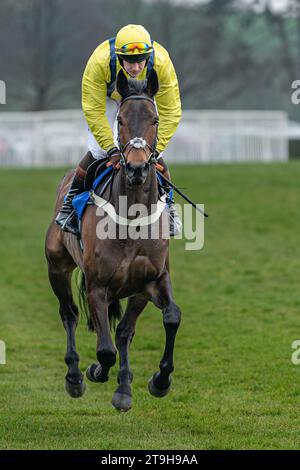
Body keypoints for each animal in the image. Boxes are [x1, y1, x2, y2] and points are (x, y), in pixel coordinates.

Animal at [44, 70, 180, 412]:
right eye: (119, 120)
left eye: (155, 119)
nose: (136, 167)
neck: (132, 217)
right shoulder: (98, 285)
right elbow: (104, 350)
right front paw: (95, 371)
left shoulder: (153, 279)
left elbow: (169, 318)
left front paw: (158, 381)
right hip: (57, 267)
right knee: (69, 314)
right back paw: (75, 376)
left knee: (123, 331)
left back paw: (123, 386)